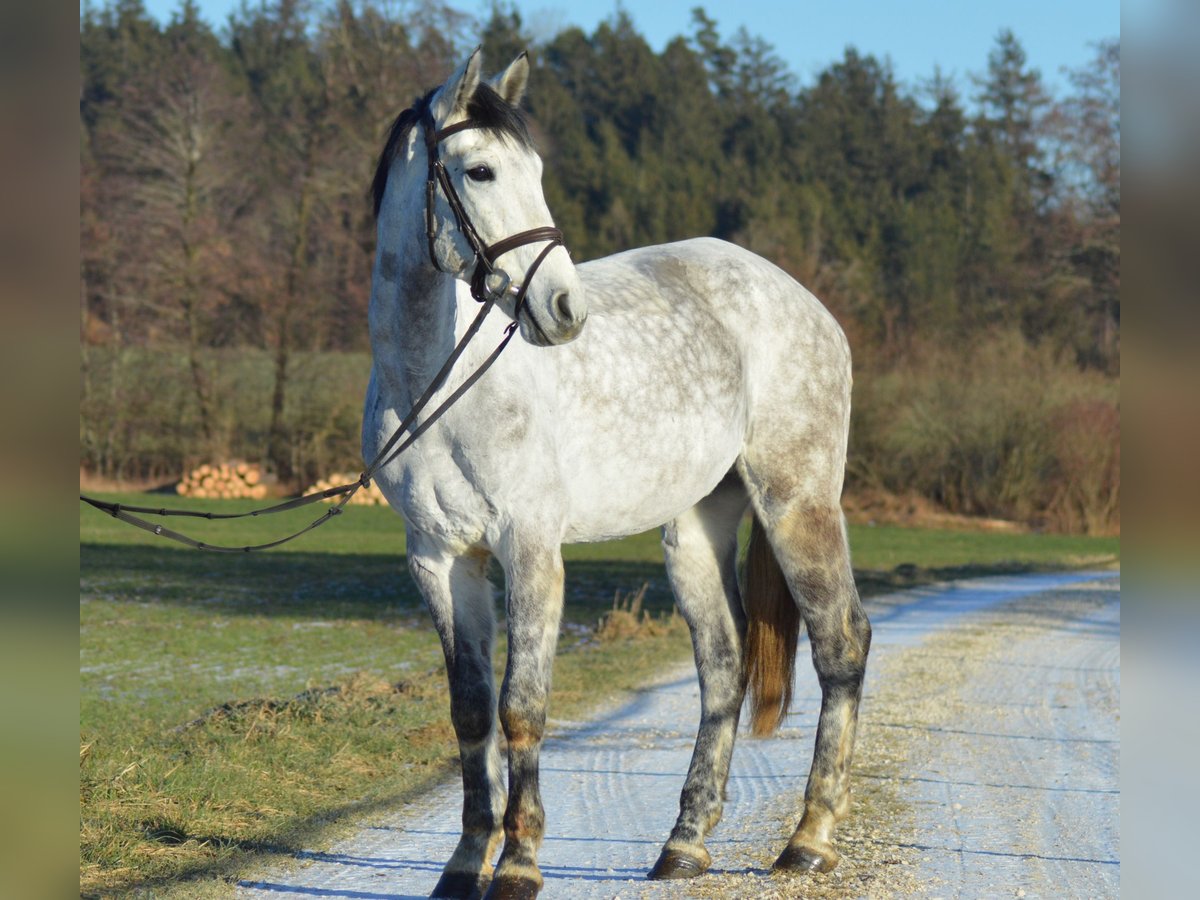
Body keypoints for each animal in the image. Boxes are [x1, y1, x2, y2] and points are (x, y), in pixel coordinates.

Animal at [363, 47, 872, 900]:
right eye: (478, 171)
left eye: (534, 170)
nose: (563, 309)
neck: (438, 384)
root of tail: (804, 302)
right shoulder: (437, 558)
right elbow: (471, 712)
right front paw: (465, 864)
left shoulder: (531, 549)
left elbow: (523, 707)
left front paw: (520, 865)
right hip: (695, 528)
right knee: (724, 666)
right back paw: (684, 844)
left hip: (796, 502)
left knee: (841, 646)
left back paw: (809, 839)